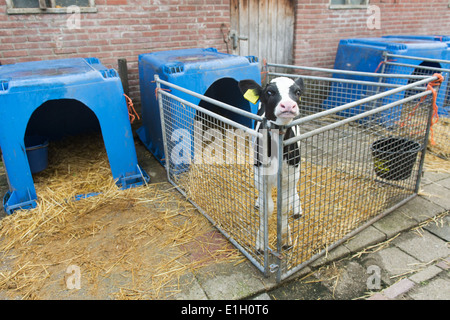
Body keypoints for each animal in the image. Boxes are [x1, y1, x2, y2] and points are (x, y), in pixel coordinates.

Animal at [237, 76, 304, 251]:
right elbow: (266, 208)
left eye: (297, 92)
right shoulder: (260, 176)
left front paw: (286, 237)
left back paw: (297, 207)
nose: (288, 105)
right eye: (269, 92)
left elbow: (284, 206)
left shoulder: (290, 174)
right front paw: (261, 242)